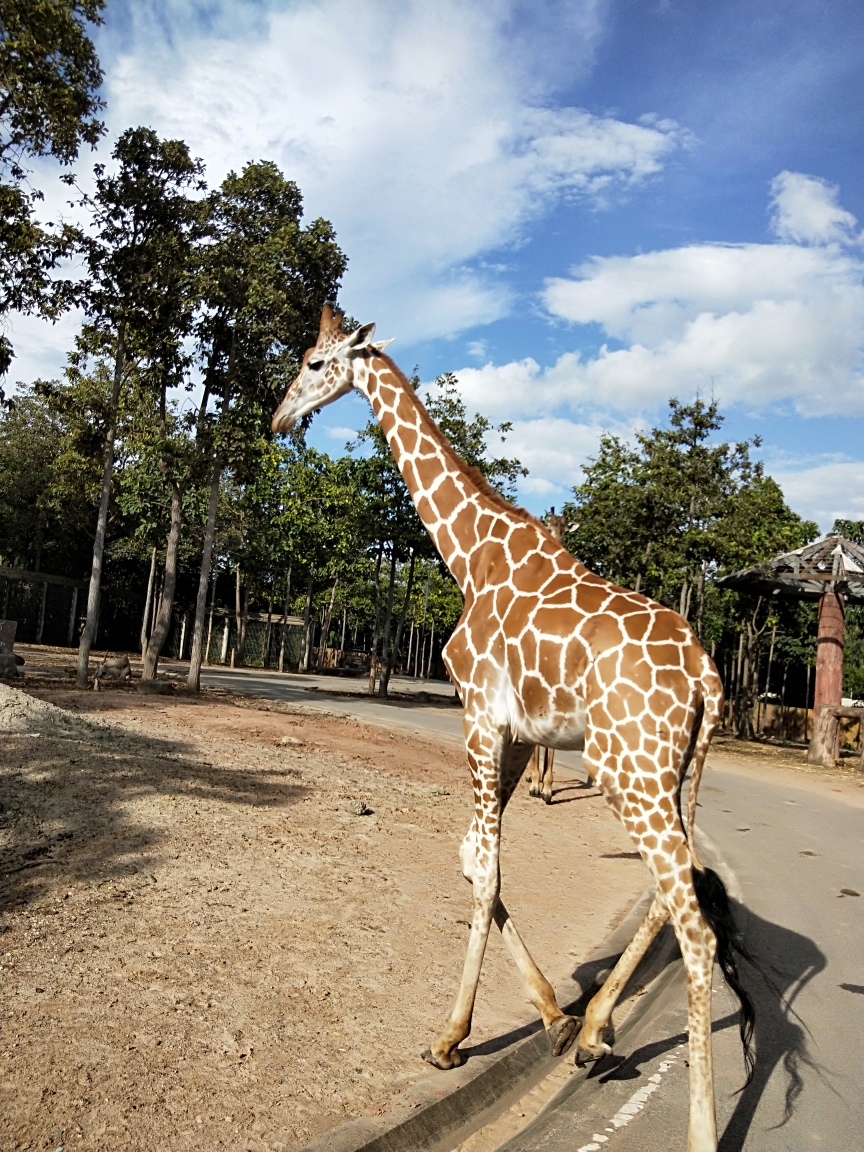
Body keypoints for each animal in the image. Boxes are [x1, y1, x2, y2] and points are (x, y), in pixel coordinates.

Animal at [275, 306, 755, 1152]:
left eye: (312, 362)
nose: (277, 420)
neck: (468, 552)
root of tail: (707, 672)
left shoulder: (479, 715)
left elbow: (489, 868)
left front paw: (449, 1037)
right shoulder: (523, 732)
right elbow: (472, 858)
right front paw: (554, 1018)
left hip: (628, 771)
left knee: (696, 932)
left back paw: (693, 1122)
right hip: (668, 773)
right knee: (674, 896)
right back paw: (595, 1032)